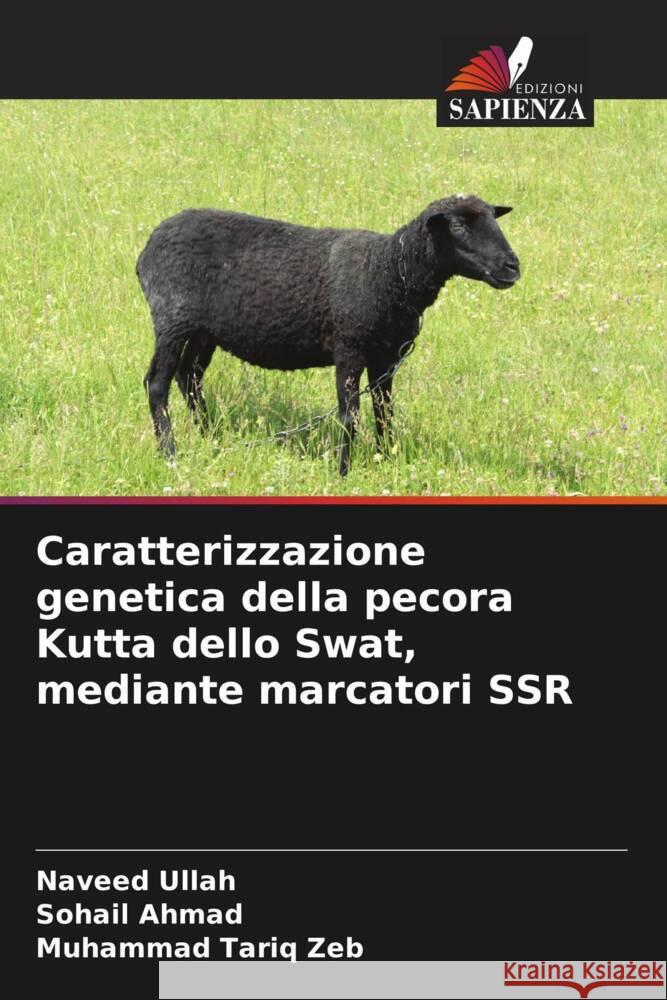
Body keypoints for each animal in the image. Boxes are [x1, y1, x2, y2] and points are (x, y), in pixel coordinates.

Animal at [137, 194, 520, 474]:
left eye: (493, 219)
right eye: (457, 226)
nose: (513, 267)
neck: (387, 270)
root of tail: (148, 246)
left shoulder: (386, 356)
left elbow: (385, 411)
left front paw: (385, 459)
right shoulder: (349, 347)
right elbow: (349, 414)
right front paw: (343, 471)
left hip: (202, 332)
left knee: (190, 377)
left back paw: (210, 436)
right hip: (172, 320)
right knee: (157, 383)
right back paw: (170, 453)